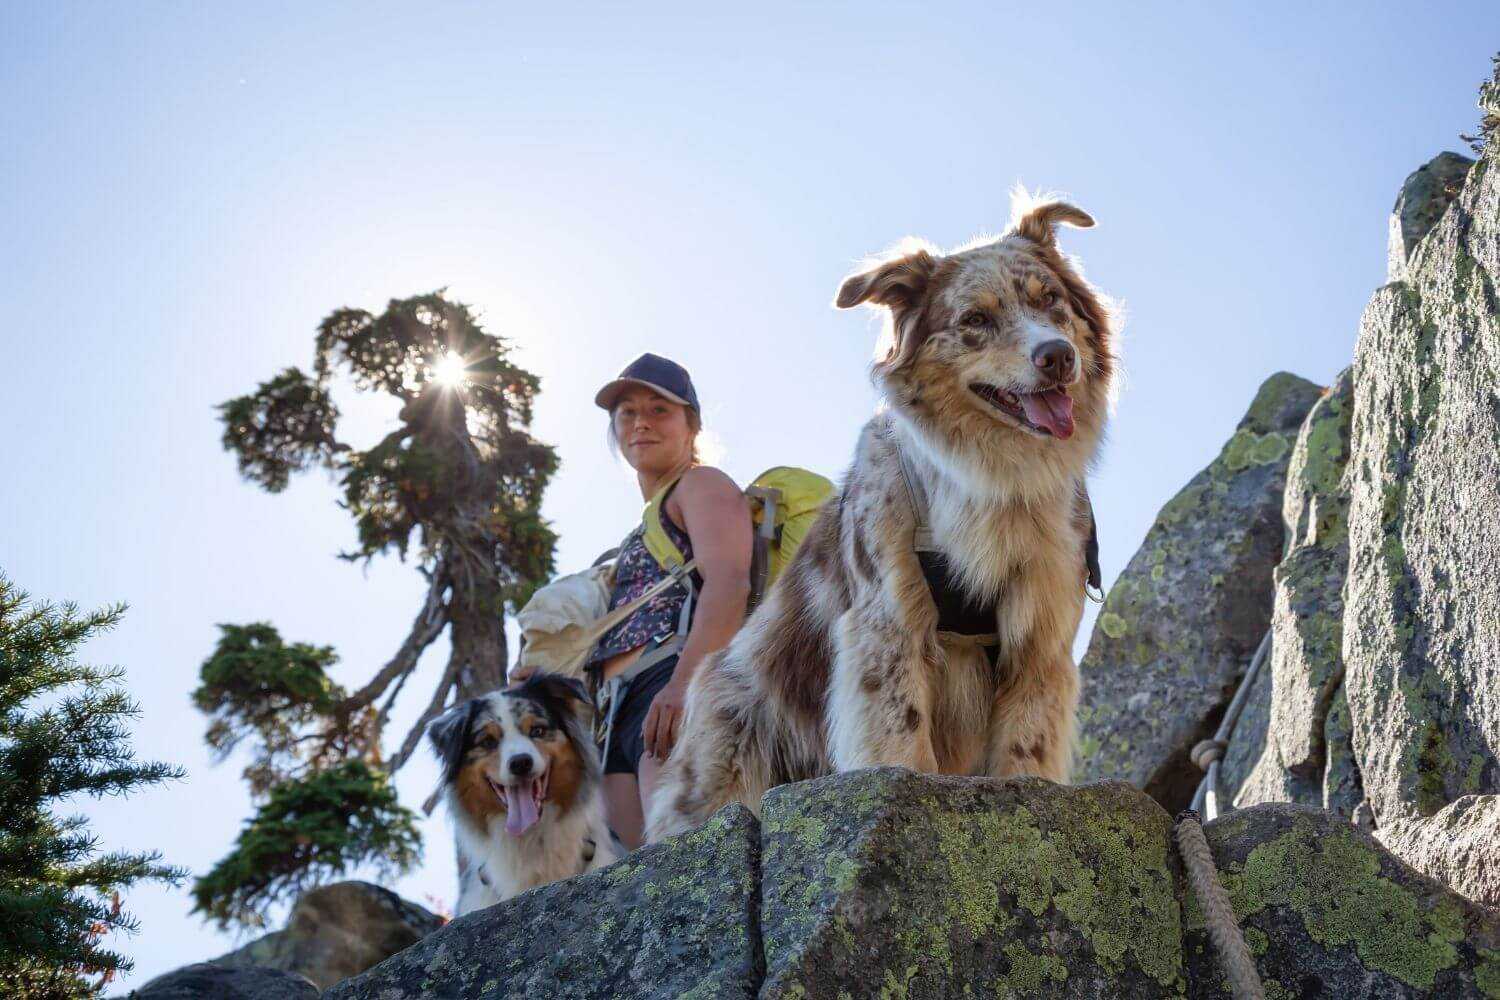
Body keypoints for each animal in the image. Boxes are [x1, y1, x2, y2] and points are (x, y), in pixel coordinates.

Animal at [645, 191, 1116, 839]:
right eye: (975, 320)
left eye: (1052, 302)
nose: (1057, 356)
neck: (995, 479)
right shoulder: (886, 622)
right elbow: (901, 737)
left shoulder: (1040, 631)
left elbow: (1026, 745)